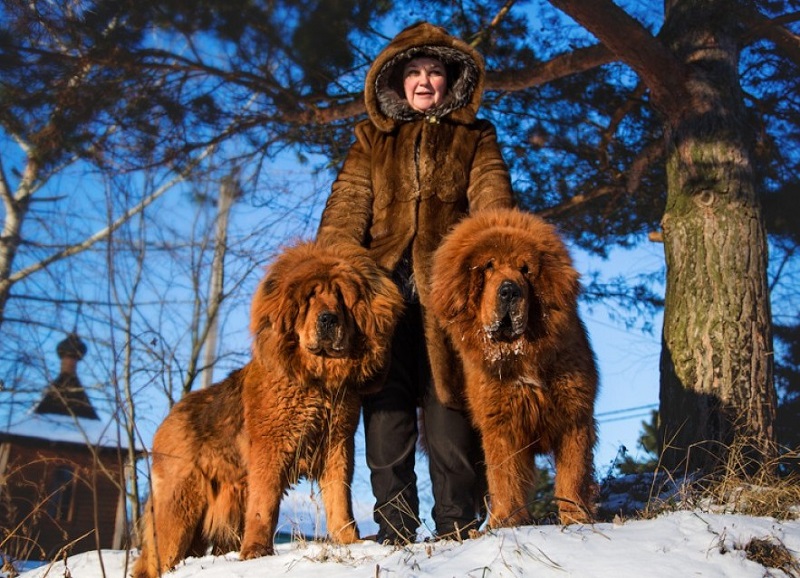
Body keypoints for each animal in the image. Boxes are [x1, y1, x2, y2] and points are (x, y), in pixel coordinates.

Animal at [135, 240, 406, 576]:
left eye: (341, 298)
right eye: (310, 297)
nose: (328, 319)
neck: (316, 382)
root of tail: (171, 415)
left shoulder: (337, 447)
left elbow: (340, 501)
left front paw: (350, 542)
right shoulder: (270, 450)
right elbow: (264, 507)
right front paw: (256, 552)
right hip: (179, 508)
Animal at [432, 208, 592, 528]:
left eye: (525, 269)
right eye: (488, 267)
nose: (509, 291)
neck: (521, 357)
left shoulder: (574, 417)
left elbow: (574, 474)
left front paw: (576, 516)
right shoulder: (502, 425)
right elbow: (504, 477)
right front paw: (506, 519)